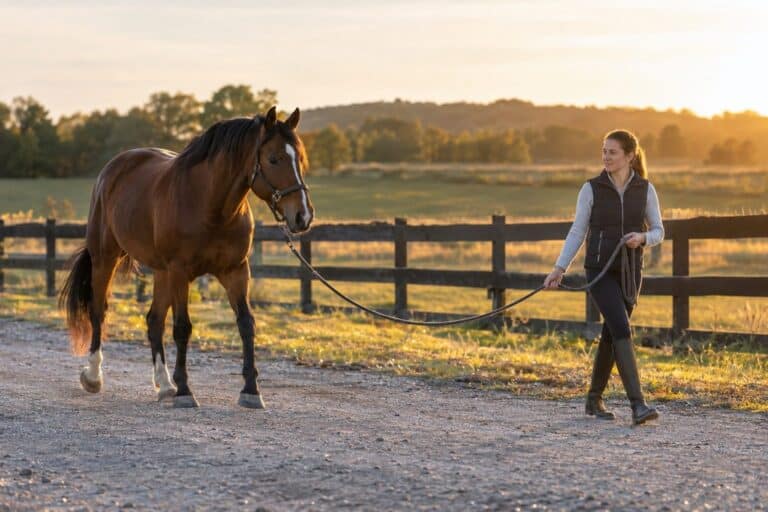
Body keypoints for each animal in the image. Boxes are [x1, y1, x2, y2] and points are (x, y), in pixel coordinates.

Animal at [59, 106, 313, 409]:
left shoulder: (236, 271)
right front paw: (185, 391)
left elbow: (246, 324)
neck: (210, 206)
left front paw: (251, 390)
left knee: (154, 320)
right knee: (99, 311)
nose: (303, 216)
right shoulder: (181, 272)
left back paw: (165, 384)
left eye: (300, 159)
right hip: (105, 259)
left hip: (162, 271)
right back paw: (94, 376)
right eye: (273, 159)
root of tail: (114, 168)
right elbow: (182, 328)